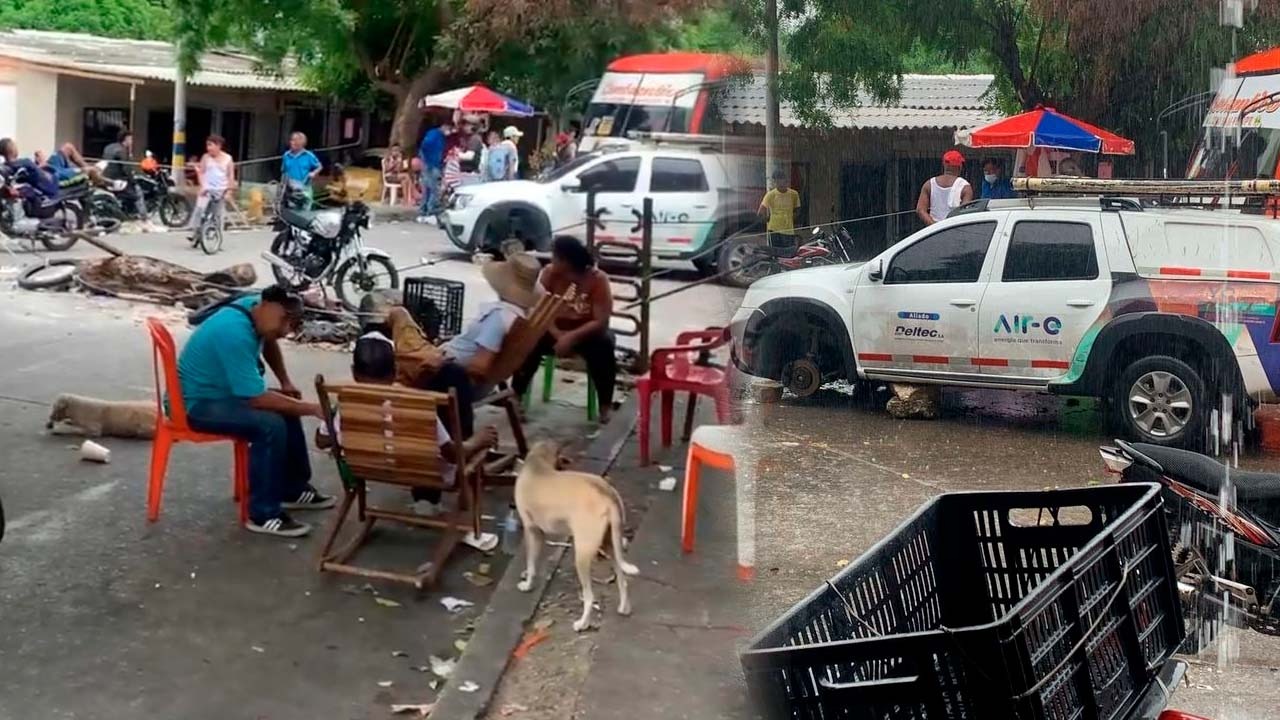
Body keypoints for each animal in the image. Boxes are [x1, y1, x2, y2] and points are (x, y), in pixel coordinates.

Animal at [514, 438, 640, 627]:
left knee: (589, 596)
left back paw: (583, 623)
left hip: (582, 554)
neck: (537, 463)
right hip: (610, 543)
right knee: (622, 579)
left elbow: (530, 562)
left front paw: (528, 583)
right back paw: (624, 608)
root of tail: (607, 493)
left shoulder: (532, 530)